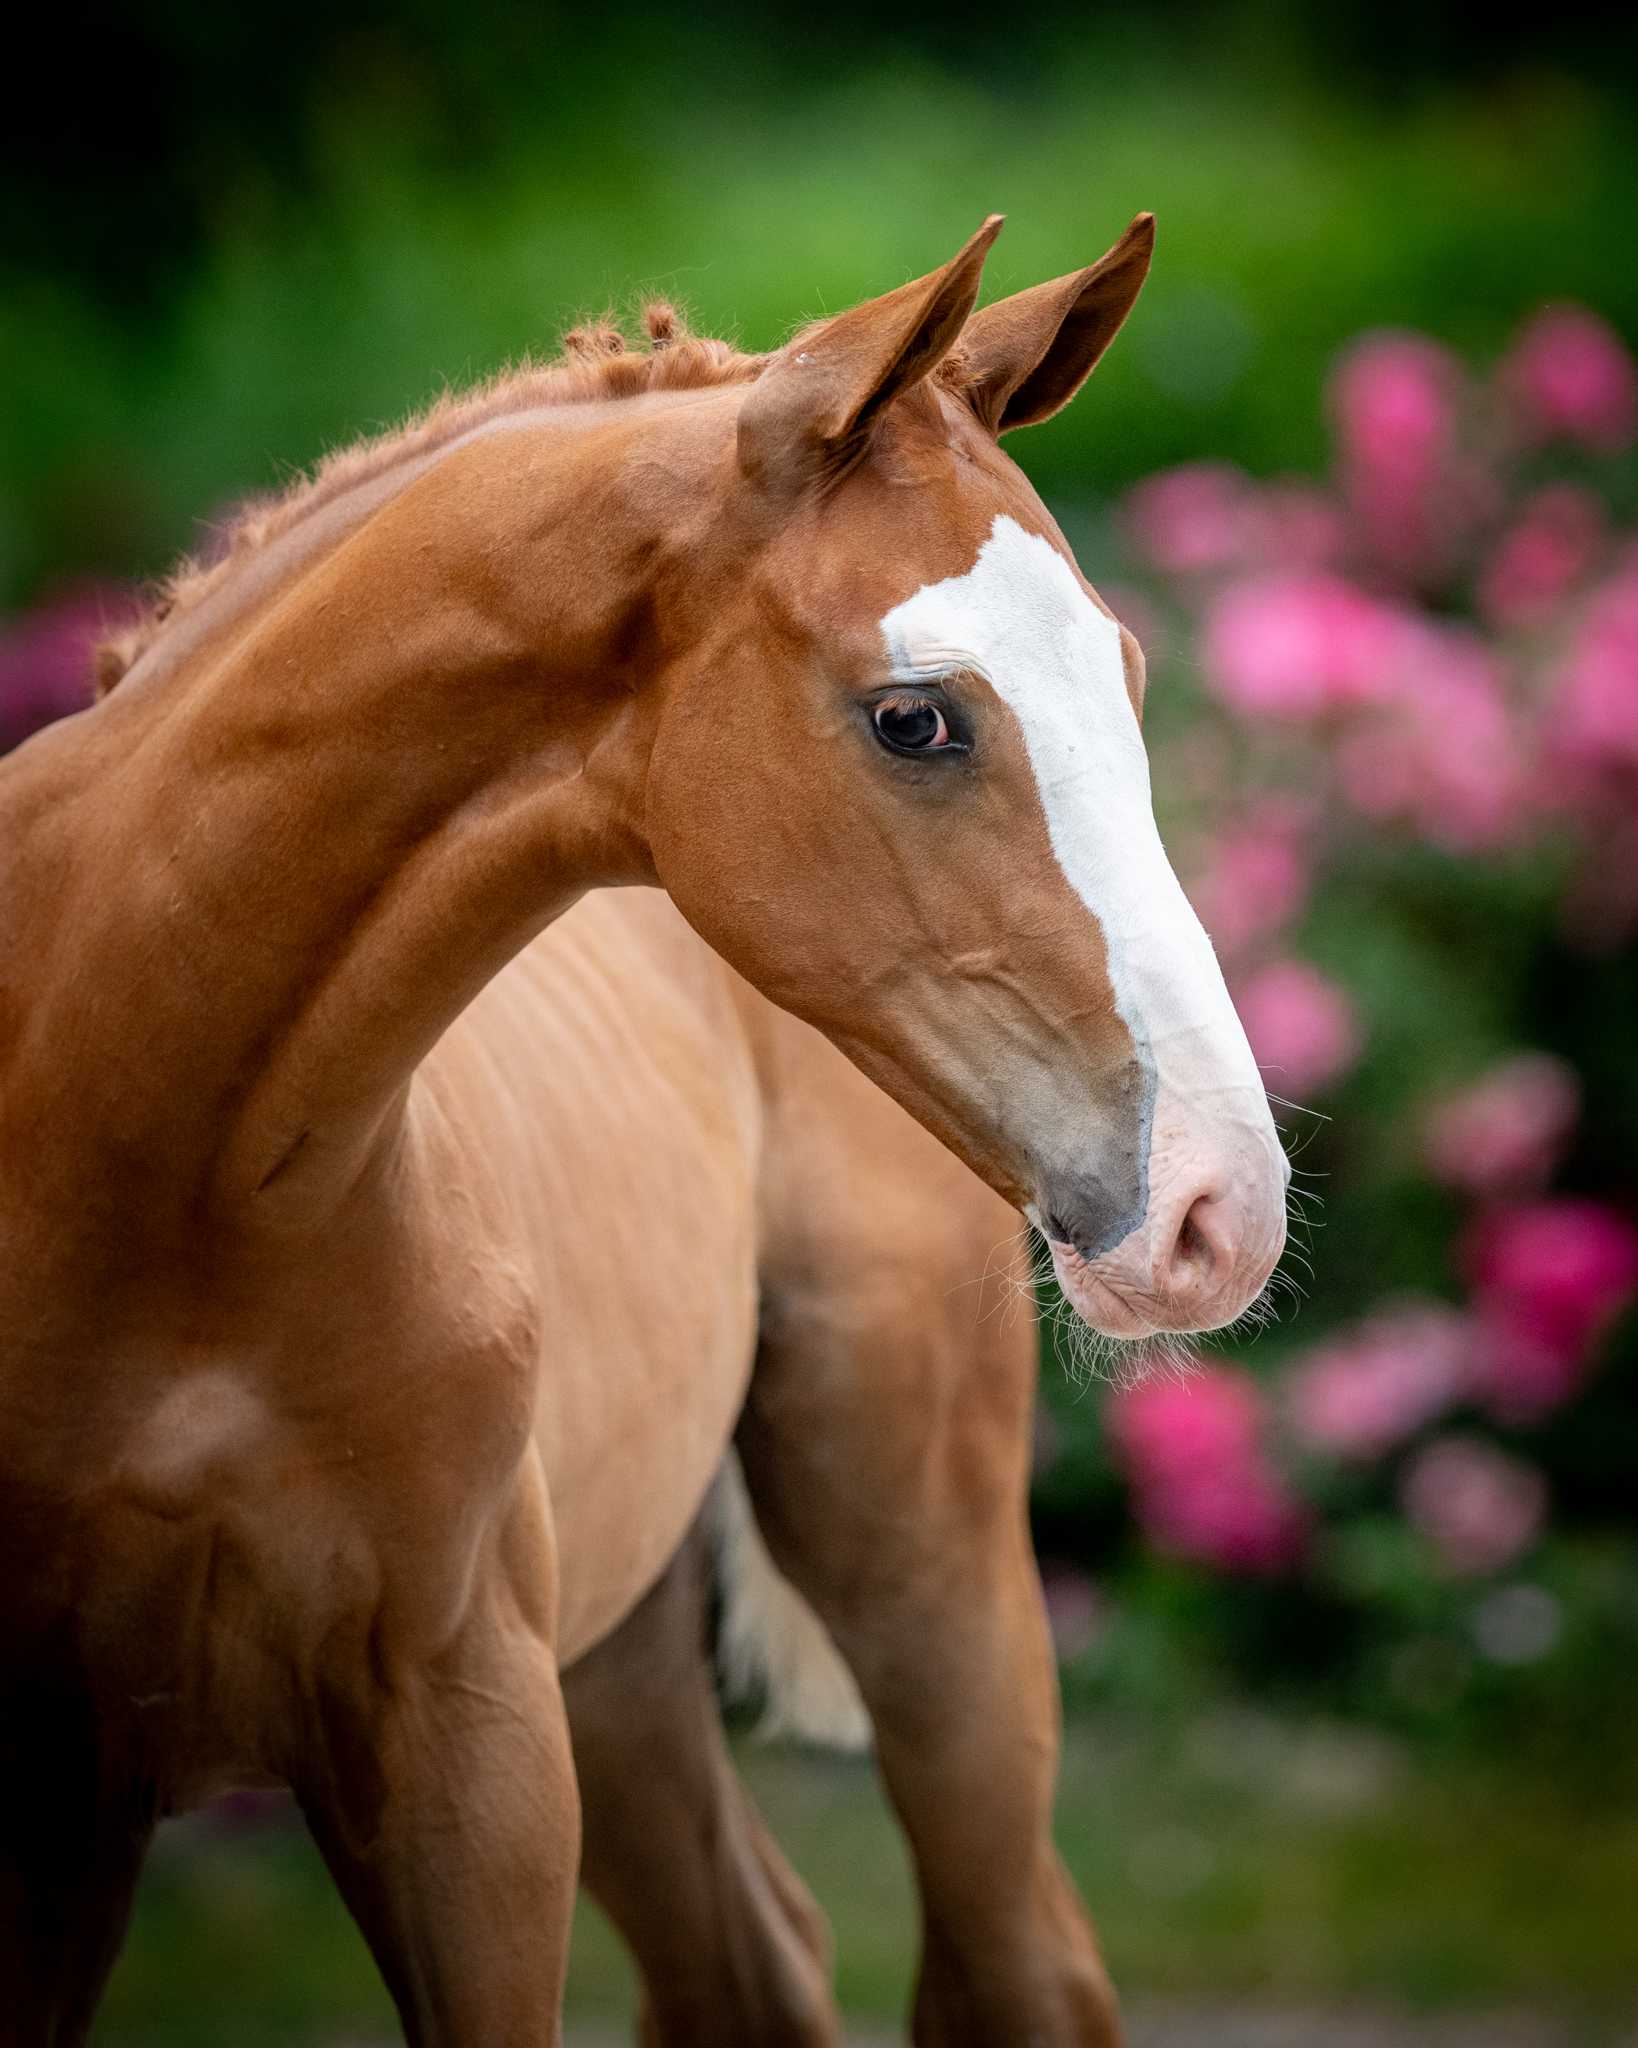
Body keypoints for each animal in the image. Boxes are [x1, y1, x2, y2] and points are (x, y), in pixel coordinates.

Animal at [0, 211, 1287, 2044]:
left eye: (1122, 675)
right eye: (913, 715)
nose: (1216, 1210)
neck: (148, 1157)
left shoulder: (466, 1745)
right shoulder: (60, 1794)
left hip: (918, 1563)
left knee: (1010, 1957)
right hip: (618, 1664)